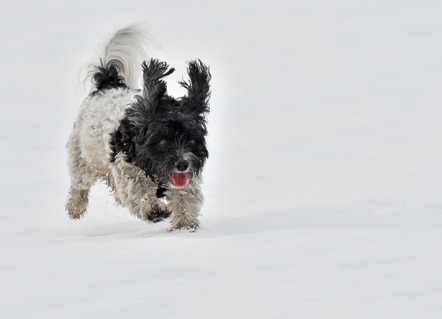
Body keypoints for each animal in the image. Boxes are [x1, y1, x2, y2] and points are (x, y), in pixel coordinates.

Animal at [64, 23, 212, 231]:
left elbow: (186, 199)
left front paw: (185, 226)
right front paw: (154, 210)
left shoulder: (184, 179)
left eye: (191, 140)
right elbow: (137, 192)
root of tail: (109, 83)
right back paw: (75, 206)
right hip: (83, 157)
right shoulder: (127, 170)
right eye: (162, 141)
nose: (182, 164)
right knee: (80, 184)